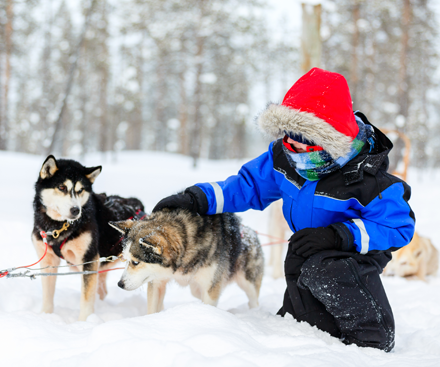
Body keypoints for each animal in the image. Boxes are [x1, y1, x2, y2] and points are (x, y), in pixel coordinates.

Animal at [31, 155, 144, 322]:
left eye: (80, 190)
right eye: (62, 187)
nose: (75, 210)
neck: (59, 226)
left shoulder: (89, 260)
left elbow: (86, 298)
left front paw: (84, 322)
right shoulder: (48, 261)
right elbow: (47, 295)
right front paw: (46, 316)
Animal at [109, 210, 264, 314]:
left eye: (135, 262)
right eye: (125, 260)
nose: (120, 284)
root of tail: (252, 233)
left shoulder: (210, 289)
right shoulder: (157, 282)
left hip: (247, 282)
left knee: (253, 300)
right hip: (196, 289)